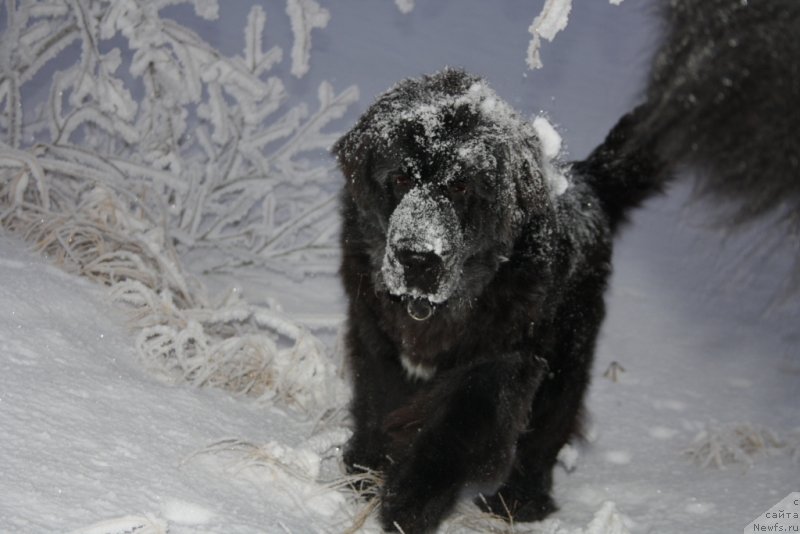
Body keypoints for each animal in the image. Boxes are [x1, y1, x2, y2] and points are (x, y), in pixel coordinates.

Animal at [332, 0, 800, 532]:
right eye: (401, 178)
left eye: (462, 186)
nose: (417, 257)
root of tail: (586, 187)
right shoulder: (376, 334)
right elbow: (378, 401)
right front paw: (365, 469)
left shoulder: (504, 360)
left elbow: (456, 428)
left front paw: (411, 500)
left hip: (566, 358)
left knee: (545, 432)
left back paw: (520, 501)